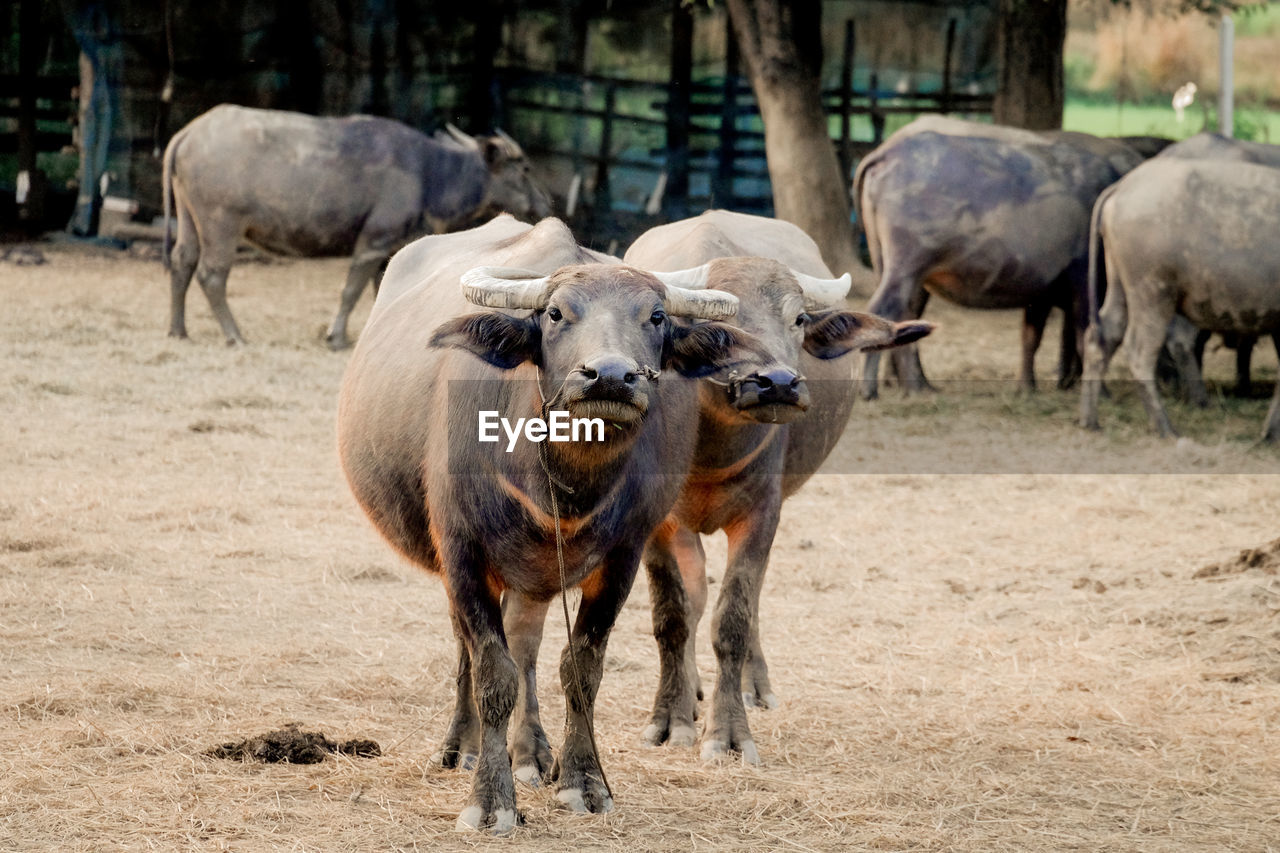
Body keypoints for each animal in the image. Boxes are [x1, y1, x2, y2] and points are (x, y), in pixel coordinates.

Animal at [163, 103, 550, 348]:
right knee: (211, 274)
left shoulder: (392, 252)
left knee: (182, 261)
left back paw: (178, 330)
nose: (546, 203)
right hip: (221, 223)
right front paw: (335, 337)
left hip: (189, 219)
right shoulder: (373, 243)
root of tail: (188, 134)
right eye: (525, 168)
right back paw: (235, 335)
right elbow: (350, 291)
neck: (429, 174)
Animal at [332, 213, 768, 829]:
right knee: (471, 647)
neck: (563, 485)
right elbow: (493, 672)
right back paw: (463, 747)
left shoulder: (623, 557)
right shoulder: (462, 552)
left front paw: (582, 781)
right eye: (557, 314)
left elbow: (580, 668)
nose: (609, 376)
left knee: (528, 643)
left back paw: (533, 753)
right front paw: (490, 801)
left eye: (656, 316)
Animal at [624, 208, 936, 758]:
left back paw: (753, 685)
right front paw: (670, 718)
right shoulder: (657, 521)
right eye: (723, 324)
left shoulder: (763, 512)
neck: (710, 448)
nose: (780, 384)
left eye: (797, 319)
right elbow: (672, 616)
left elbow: (733, 617)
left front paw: (728, 732)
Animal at [849, 114, 1141, 397]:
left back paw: (919, 384)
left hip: (896, 269)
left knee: (904, 318)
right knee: (882, 310)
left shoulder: (1041, 291)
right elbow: (1084, 333)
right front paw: (1101, 392)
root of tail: (888, 153)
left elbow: (1031, 336)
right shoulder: (1082, 278)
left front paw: (1027, 387)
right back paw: (875, 389)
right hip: (905, 268)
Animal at [1080, 157, 1280, 445]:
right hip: (1152, 294)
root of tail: (1123, 186)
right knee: (1139, 350)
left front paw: (1270, 433)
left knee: (1102, 337)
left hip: (1119, 286)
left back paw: (1090, 420)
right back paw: (1165, 427)